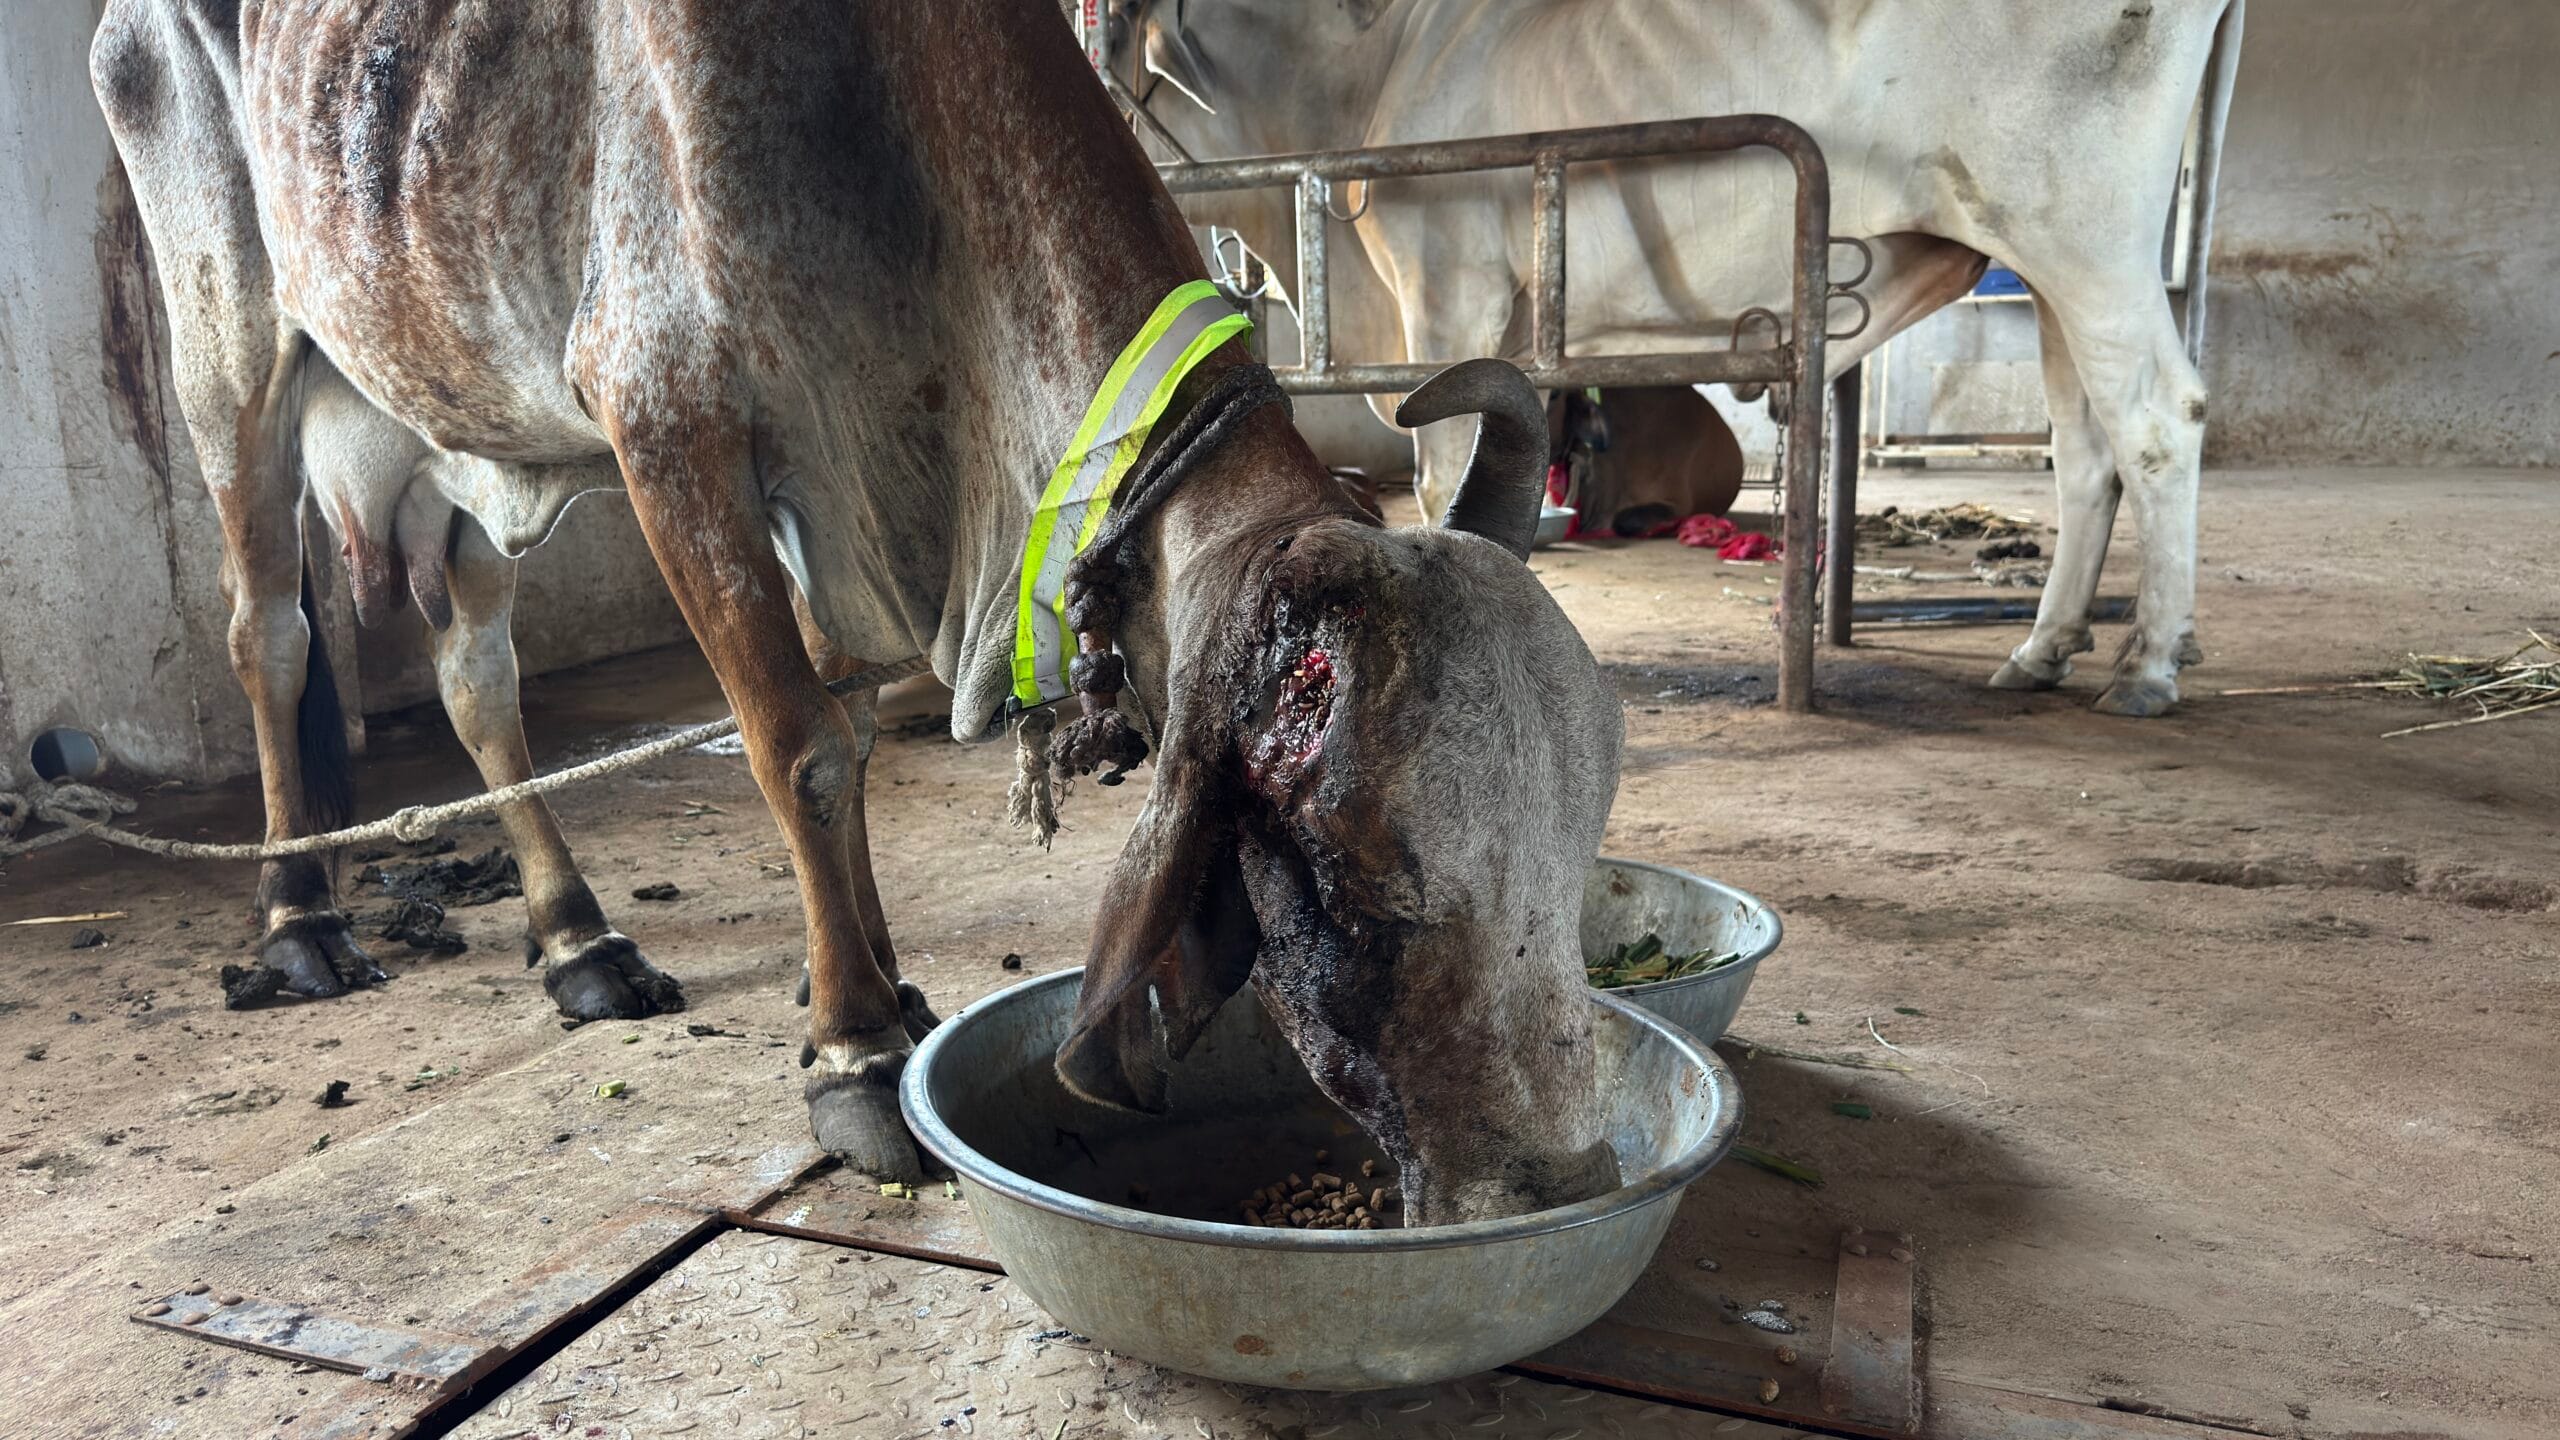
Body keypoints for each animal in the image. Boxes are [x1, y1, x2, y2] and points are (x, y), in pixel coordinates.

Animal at [94, 0, 1624, 1223]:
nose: (1557, 1180)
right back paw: (296, 918)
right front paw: (858, 1056)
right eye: (1355, 890)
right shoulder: (673, 429)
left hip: (470, 429)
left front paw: (882, 989)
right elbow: (806, 754)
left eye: (1578, 848)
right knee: (269, 634)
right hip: (229, 349)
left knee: (477, 677)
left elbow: (853, 730)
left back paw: (579, 940)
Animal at [1106, 0, 2245, 716]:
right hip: (2044, 265)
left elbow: (1441, 484)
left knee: (2156, 418)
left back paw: (2149, 663)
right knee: (2084, 447)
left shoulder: (1449, 284)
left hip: (2078, 232)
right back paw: (2045, 647)